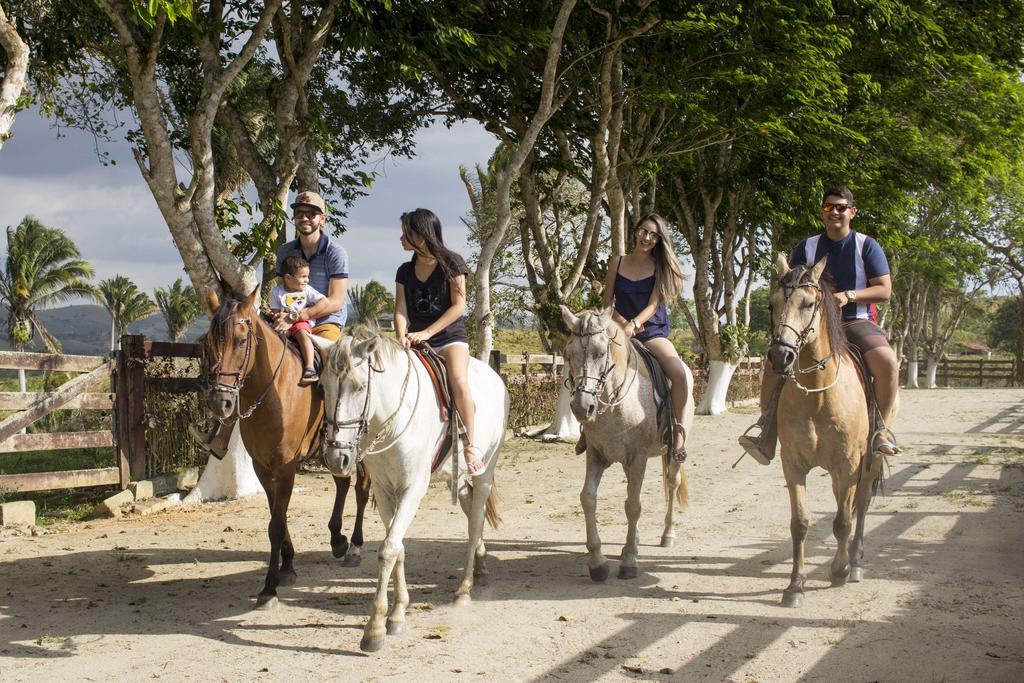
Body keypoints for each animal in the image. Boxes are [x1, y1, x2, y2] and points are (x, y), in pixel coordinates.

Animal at [201, 288, 370, 610]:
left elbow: (276, 525)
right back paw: (337, 539)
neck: (274, 392)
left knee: (362, 489)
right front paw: (287, 565)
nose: (220, 402)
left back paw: (355, 545)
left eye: (240, 340)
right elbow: (275, 516)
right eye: (207, 343)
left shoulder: (286, 467)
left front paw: (269, 587)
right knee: (343, 485)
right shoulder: (262, 467)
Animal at [319, 327, 507, 655]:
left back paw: (464, 590)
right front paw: (397, 613)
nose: (336, 457)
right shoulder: (385, 491)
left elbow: (387, 550)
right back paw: (482, 568)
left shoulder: (411, 490)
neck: (391, 421)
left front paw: (375, 628)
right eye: (322, 387)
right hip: (456, 478)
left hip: (484, 471)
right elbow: (398, 548)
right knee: (472, 510)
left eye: (359, 387)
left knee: (474, 524)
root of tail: (495, 377)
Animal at [561, 307, 696, 581]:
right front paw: (597, 562)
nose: (582, 407)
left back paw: (667, 534)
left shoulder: (638, 457)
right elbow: (588, 498)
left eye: (601, 352)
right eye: (569, 354)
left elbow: (633, 506)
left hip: (672, 453)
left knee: (672, 483)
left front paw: (630, 561)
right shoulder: (596, 455)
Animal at [770, 255, 888, 610]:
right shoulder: (793, 464)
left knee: (859, 505)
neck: (817, 395)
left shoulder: (847, 465)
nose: (780, 355)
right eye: (771, 305)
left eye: (808, 304)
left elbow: (842, 521)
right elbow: (800, 524)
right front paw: (795, 585)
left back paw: (856, 562)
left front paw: (839, 570)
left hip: (867, 463)